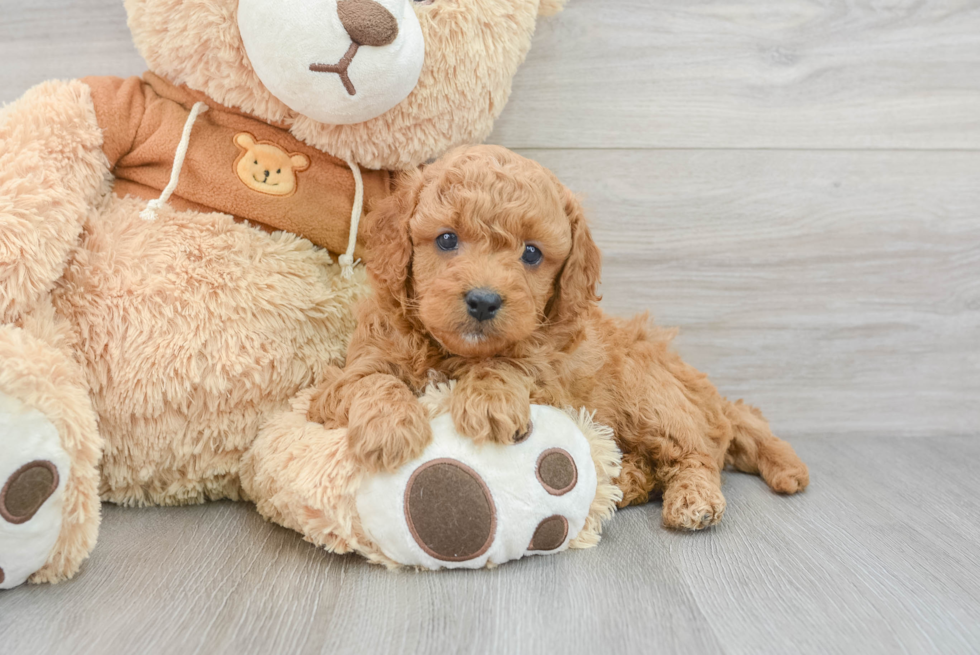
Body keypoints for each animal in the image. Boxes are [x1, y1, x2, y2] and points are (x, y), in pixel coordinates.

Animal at [310, 146, 808, 532]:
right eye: (447, 240)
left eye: (531, 253)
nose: (484, 301)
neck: (453, 351)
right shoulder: (342, 379)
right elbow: (373, 380)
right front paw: (390, 426)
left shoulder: (553, 381)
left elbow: (509, 365)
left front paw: (488, 401)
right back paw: (624, 480)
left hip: (650, 396)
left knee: (696, 453)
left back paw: (692, 500)